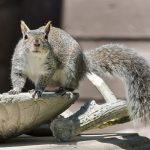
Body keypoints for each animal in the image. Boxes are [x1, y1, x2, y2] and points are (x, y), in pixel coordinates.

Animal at [9, 20, 149, 122]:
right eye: (25, 37)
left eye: (46, 37)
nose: (37, 44)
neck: (34, 57)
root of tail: (83, 63)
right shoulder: (18, 64)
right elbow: (17, 77)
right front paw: (15, 90)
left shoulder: (49, 68)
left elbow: (43, 80)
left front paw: (38, 90)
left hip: (70, 71)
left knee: (73, 86)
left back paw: (64, 90)